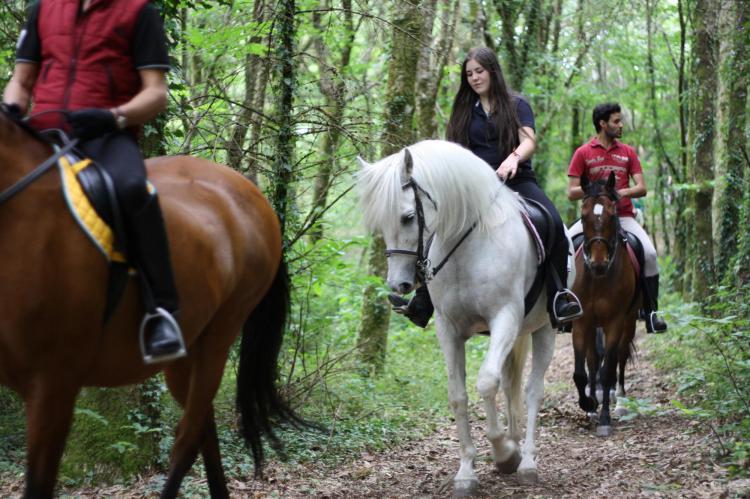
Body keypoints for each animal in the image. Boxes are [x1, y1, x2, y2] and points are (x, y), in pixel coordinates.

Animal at [0, 107, 302, 498]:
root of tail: (254, 193)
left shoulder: (54, 383)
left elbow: (38, 483)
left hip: (221, 334)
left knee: (188, 437)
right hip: (184, 352)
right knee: (204, 427)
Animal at [362, 140, 568, 496]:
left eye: (408, 217)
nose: (399, 285)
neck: (467, 246)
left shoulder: (504, 318)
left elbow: (485, 382)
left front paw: (504, 454)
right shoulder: (448, 329)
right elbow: (458, 395)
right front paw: (466, 473)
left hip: (544, 328)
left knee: (532, 390)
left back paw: (526, 461)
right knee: (512, 385)